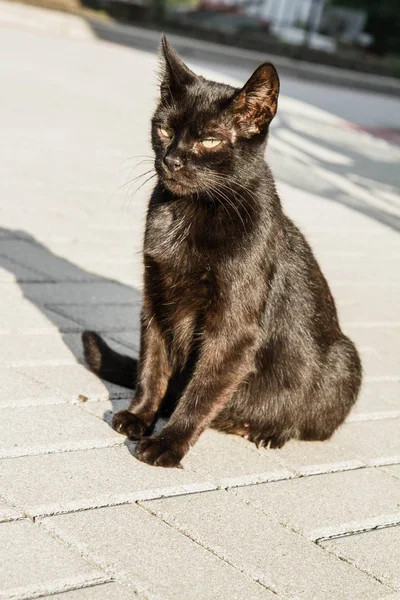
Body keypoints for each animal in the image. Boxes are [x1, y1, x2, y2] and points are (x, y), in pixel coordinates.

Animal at [82, 36, 362, 468]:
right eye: (164, 128)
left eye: (210, 140)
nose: (171, 159)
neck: (191, 212)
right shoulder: (156, 302)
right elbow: (152, 367)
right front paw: (141, 415)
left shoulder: (232, 329)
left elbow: (201, 391)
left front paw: (168, 443)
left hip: (346, 360)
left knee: (306, 423)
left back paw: (270, 431)